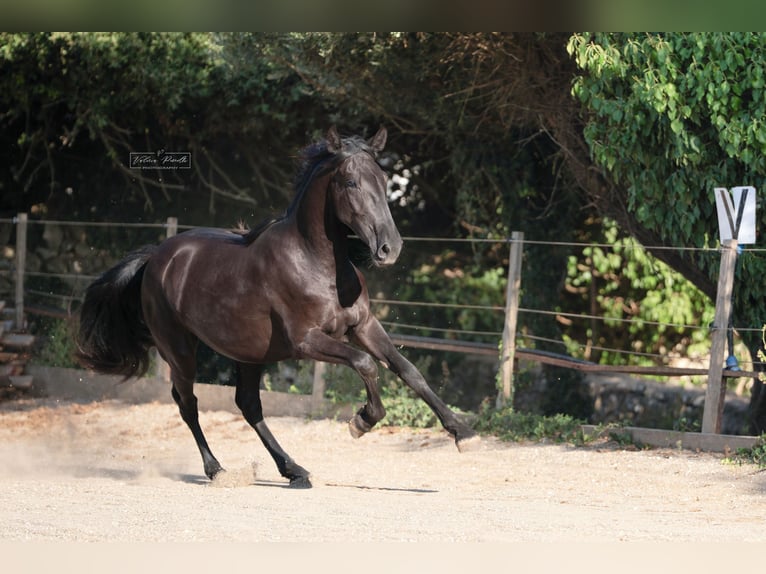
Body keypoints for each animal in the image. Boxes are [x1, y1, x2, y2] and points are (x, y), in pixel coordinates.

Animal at [75, 126, 478, 488]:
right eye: (351, 183)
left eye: (382, 180)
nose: (389, 249)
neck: (316, 262)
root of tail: (157, 256)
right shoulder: (306, 341)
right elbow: (366, 364)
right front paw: (362, 420)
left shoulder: (363, 326)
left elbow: (408, 370)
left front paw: (464, 433)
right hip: (179, 349)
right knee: (187, 402)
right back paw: (218, 471)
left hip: (247, 354)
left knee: (248, 405)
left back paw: (294, 470)